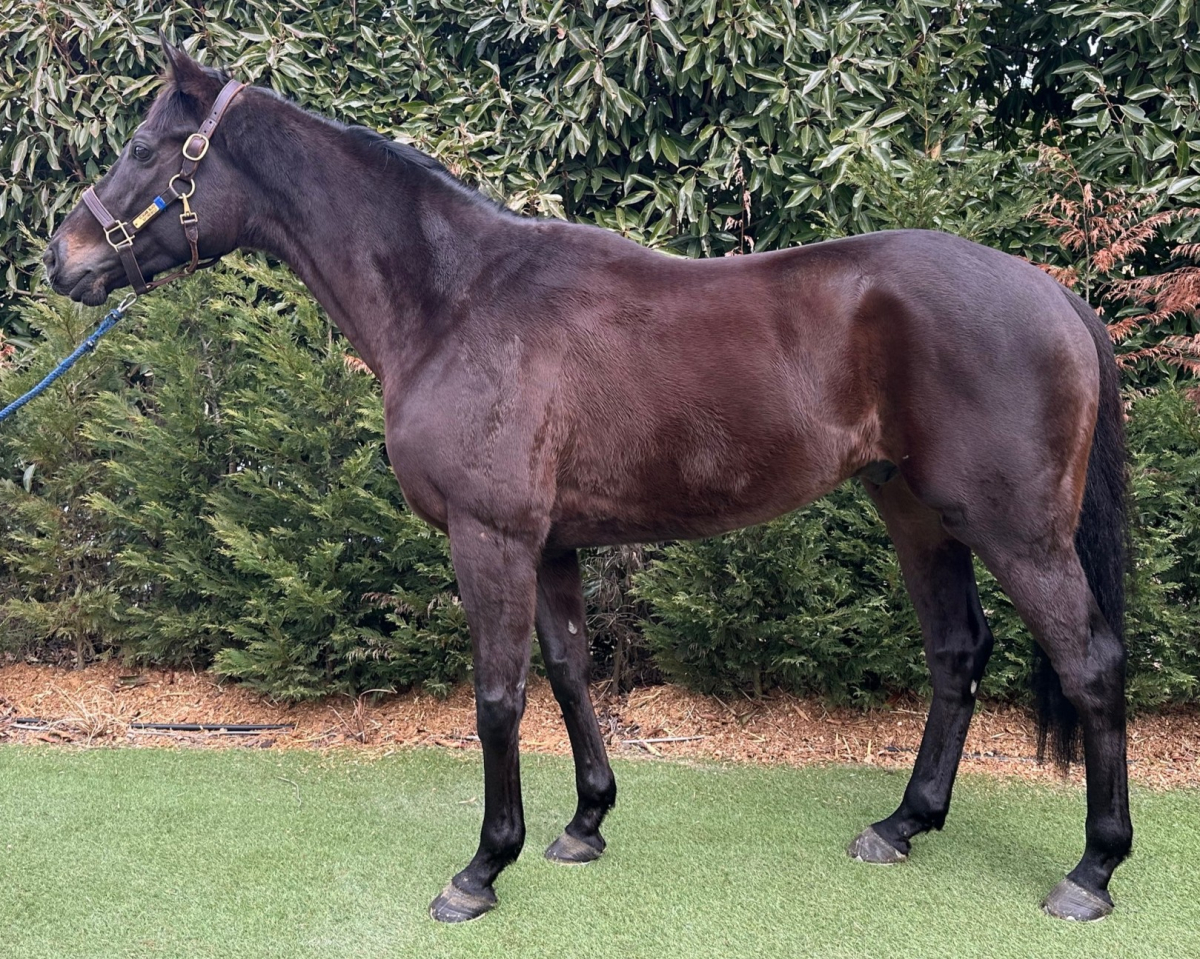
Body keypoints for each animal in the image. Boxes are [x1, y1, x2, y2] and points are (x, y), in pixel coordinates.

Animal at [43, 41, 1131, 924]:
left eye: (146, 146)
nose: (64, 257)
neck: (454, 298)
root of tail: (1054, 294)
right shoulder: (554, 541)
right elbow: (568, 671)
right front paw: (584, 823)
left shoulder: (489, 534)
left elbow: (497, 693)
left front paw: (482, 868)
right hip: (914, 510)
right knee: (956, 652)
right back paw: (902, 823)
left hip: (1017, 529)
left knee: (1090, 662)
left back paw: (1090, 872)